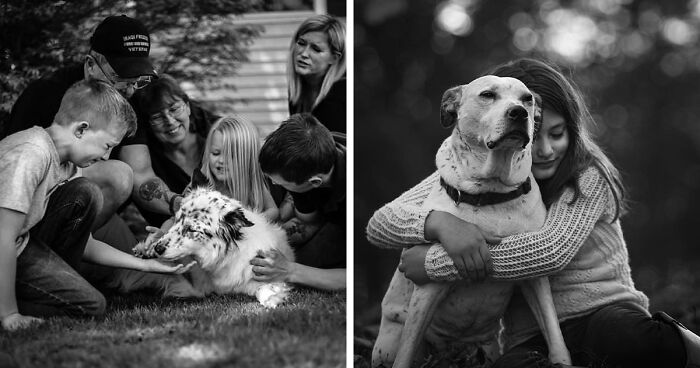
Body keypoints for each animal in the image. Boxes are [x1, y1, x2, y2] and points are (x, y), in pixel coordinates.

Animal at [114, 187, 292, 308]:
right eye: (176, 220)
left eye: (192, 229)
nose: (158, 249)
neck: (225, 259)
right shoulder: (196, 287)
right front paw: (145, 250)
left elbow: (262, 287)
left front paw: (272, 296)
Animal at [372, 75, 568, 368]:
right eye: (487, 95)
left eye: (527, 99)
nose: (518, 113)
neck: (493, 192)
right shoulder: (428, 286)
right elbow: (407, 348)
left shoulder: (536, 276)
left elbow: (554, 332)